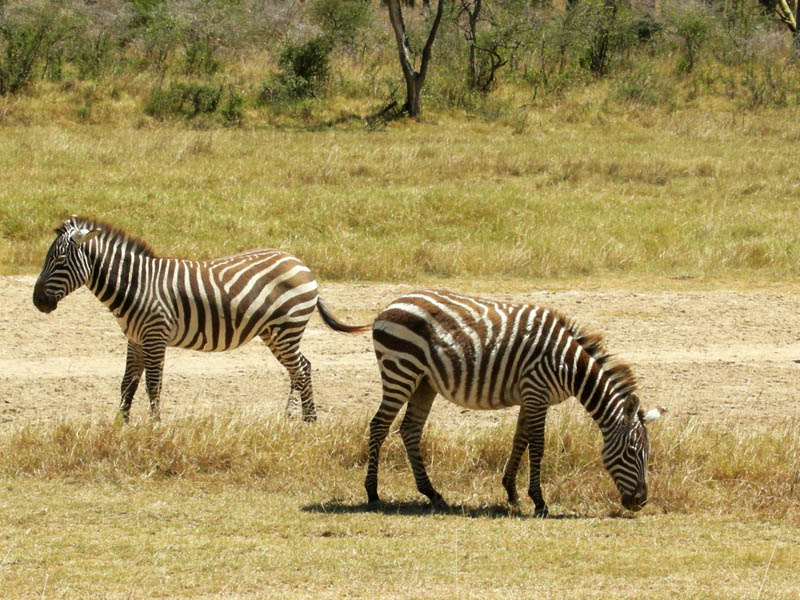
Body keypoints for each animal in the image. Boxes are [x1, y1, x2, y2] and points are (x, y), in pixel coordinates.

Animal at [31, 216, 368, 422]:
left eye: (59, 259)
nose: (37, 302)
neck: (135, 285)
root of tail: (300, 263)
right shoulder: (135, 339)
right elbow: (128, 384)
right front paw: (120, 425)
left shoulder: (155, 335)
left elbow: (153, 384)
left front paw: (154, 427)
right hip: (273, 332)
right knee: (303, 367)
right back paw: (302, 420)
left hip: (287, 327)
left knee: (300, 370)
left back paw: (298, 420)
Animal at [368, 290, 664, 516]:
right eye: (631, 452)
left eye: (647, 453)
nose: (640, 502)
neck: (570, 366)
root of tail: (389, 305)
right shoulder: (536, 392)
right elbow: (537, 446)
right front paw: (540, 502)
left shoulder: (529, 396)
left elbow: (519, 440)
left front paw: (512, 492)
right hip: (401, 371)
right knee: (379, 425)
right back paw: (372, 493)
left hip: (424, 383)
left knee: (410, 430)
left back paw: (432, 493)